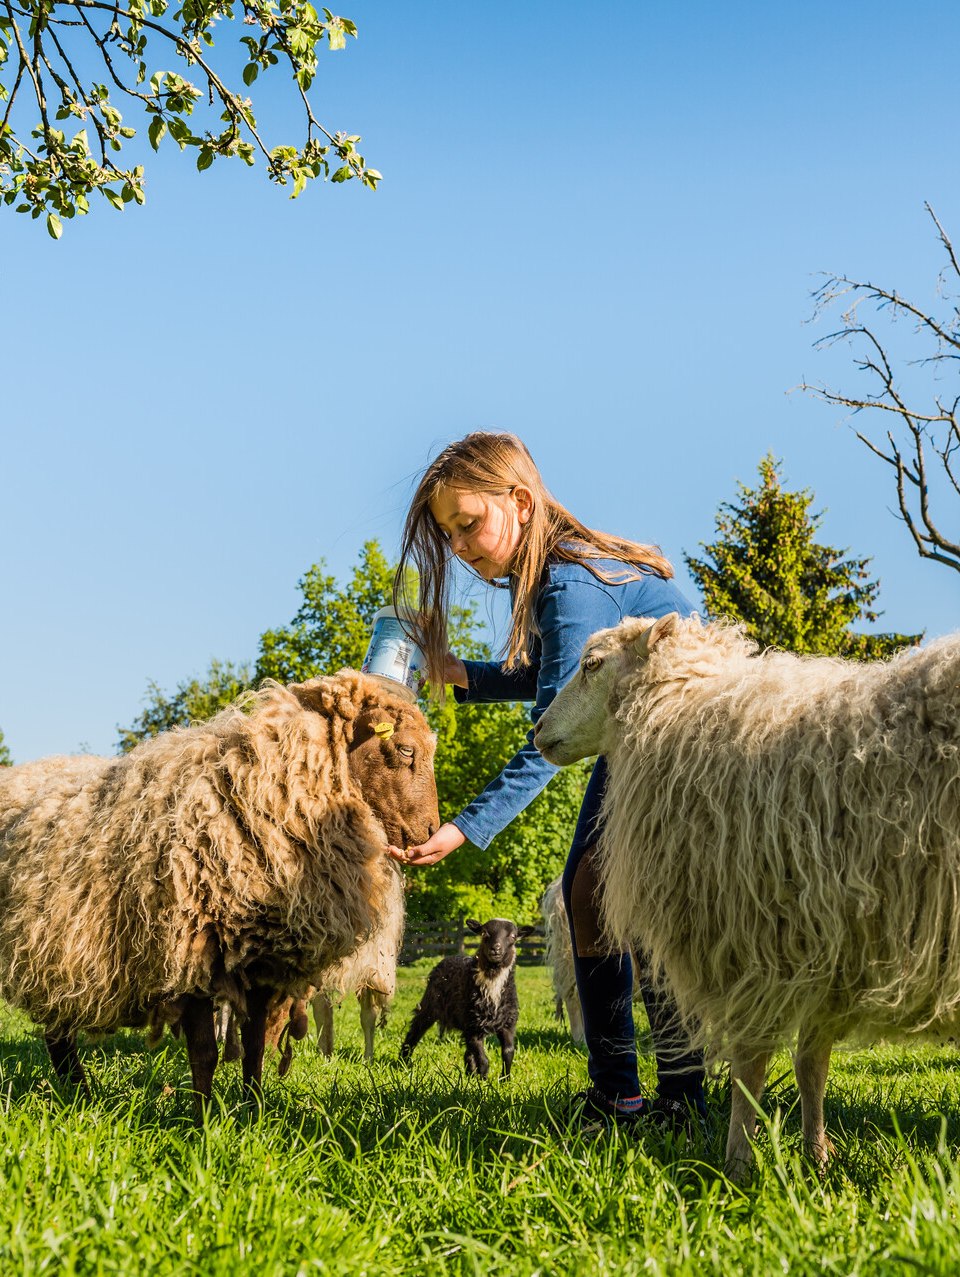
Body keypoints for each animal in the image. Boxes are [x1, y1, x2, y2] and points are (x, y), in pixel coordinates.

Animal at [0, 674, 441, 1103]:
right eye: (405, 749)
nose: (430, 834)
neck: (259, 795)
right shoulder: (191, 953)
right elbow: (204, 1053)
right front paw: (205, 1117)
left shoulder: (264, 961)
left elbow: (255, 1046)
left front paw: (254, 1109)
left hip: (53, 954)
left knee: (57, 1031)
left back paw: (78, 1093)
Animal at [395, 919, 533, 1077]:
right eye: (484, 933)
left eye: (513, 936)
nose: (495, 949)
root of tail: (451, 957)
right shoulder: (472, 1027)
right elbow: (484, 1060)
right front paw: (484, 1081)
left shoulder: (507, 1024)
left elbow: (508, 1053)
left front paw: (504, 1079)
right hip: (430, 1006)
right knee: (414, 1032)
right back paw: (402, 1064)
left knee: (468, 1053)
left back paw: (469, 1074)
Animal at [536, 612, 960, 1179]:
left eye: (592, 664)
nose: (537, 730)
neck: (680, 716)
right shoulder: (825, 946)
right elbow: (810, 1064)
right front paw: (816, 1159)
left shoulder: (751, 944)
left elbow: (750, 1067)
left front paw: (737, 1164)